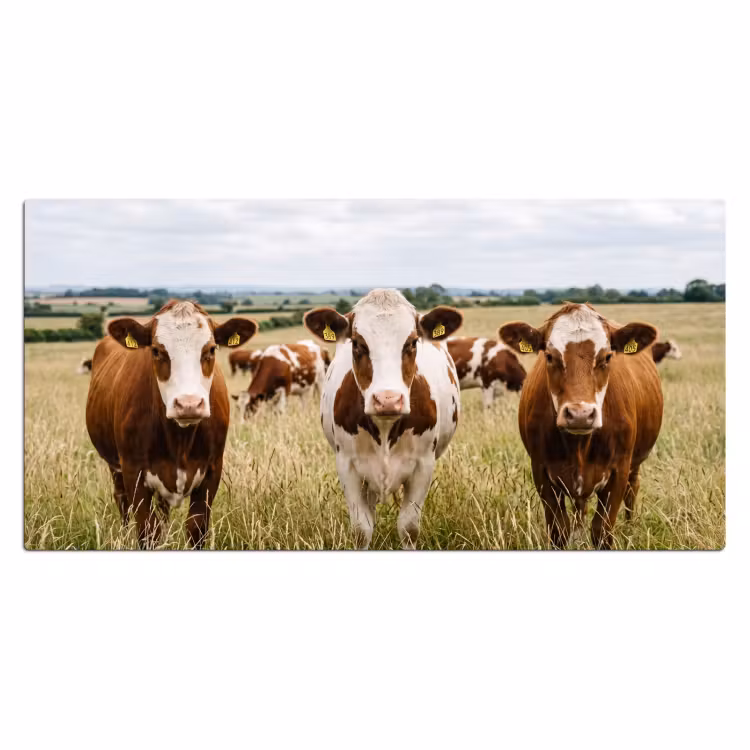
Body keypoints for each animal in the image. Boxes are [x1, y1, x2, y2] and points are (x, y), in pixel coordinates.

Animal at [85, 300, 258, 548]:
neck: (179, 441)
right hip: (115, 466)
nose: (188, 404)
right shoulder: (133, 471)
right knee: (122, 502)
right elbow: (147, 531)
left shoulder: (212, 470)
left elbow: (196, 528)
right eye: (156, 350)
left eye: (211, 349)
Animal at [304, 288, 463, 549]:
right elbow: (362, 529)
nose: (388, 400)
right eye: (357, 343)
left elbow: (408, 527)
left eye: (412, 342)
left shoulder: (423, 465)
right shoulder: (347, 465)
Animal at [499, 303, 663, 549]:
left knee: (632, 490)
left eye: (607, 357)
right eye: (549, 356)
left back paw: (630, 527)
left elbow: (602, 531)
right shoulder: (541, 472)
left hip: (635, 463)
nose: (580, 415)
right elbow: (559, 530)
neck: (578, 445)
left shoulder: (619, 471)